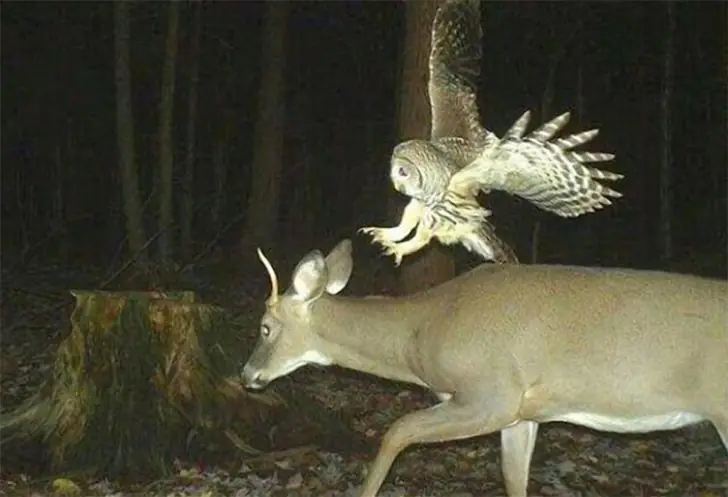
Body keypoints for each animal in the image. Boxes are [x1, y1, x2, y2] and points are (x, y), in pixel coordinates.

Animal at [241, 239, 728, 497]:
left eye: (264, 327)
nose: (246, 376)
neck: (420, 332)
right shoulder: (523, 414)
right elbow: (514, 479)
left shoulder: (491, 393)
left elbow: (396, 431)